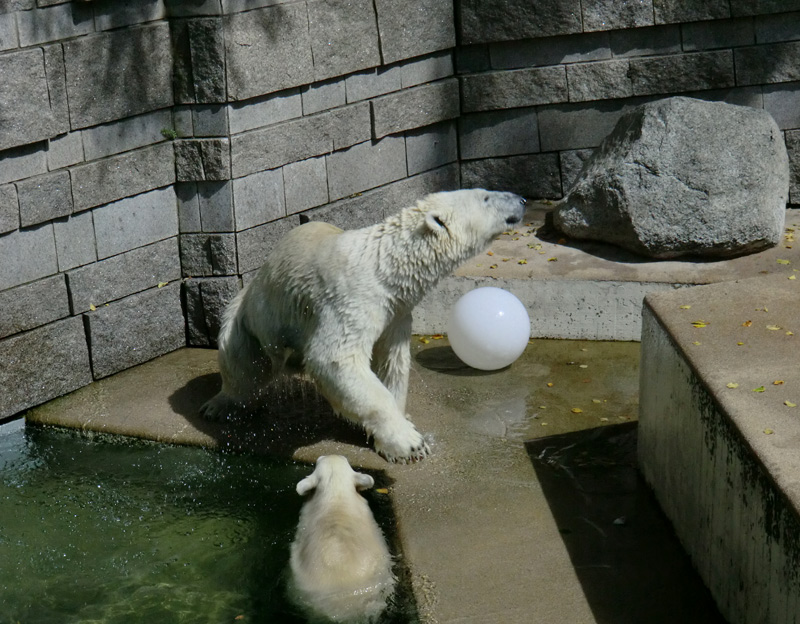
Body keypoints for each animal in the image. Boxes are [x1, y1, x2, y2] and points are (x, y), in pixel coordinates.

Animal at [200, 190, 524, 464]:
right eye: (485, 197)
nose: (521, 200)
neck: (386, 265)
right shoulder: (351, 299)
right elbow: (336, 359)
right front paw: (411, 444)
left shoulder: (396, 313)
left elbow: (390, 362)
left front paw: (396, 429)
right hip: (249, 316)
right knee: (242, 361)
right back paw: (220, 405)